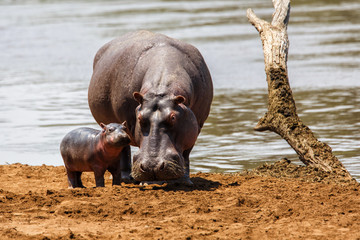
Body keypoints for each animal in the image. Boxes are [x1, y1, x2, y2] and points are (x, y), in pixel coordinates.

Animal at [88, 30, 212, 184]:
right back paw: (125, 178)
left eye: (173, 117)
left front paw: (184, 181)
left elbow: (186, 153)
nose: (152, 166)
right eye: (140, 118)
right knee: (123, 149)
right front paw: (147, 182)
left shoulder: (197, 125)